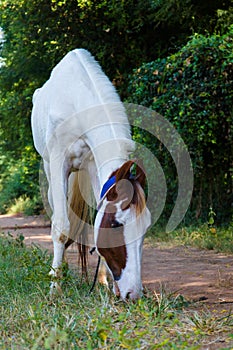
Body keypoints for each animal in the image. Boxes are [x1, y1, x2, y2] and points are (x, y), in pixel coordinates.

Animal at [31, 48, 150, 300]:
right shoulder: (58, 162)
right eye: (116, 225)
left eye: (145, 228)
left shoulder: (96, 167)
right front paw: (55, 288)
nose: (133, 294)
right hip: (49, 168)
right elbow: (61, 226)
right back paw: (60, 271)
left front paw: (103, 282)